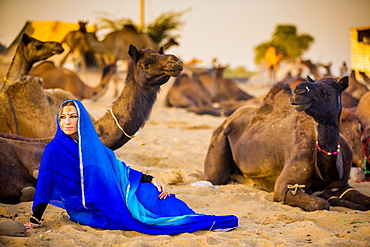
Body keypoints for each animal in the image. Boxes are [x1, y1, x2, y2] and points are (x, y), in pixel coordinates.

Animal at [205, 75, 370, 210]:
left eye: (328, 93)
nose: (299, 91)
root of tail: (229, 118)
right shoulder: (284, 186)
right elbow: (321, 204)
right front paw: (326, 198)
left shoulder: (343, 186)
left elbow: (364, 200)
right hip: (218, 141)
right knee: (217, 177)